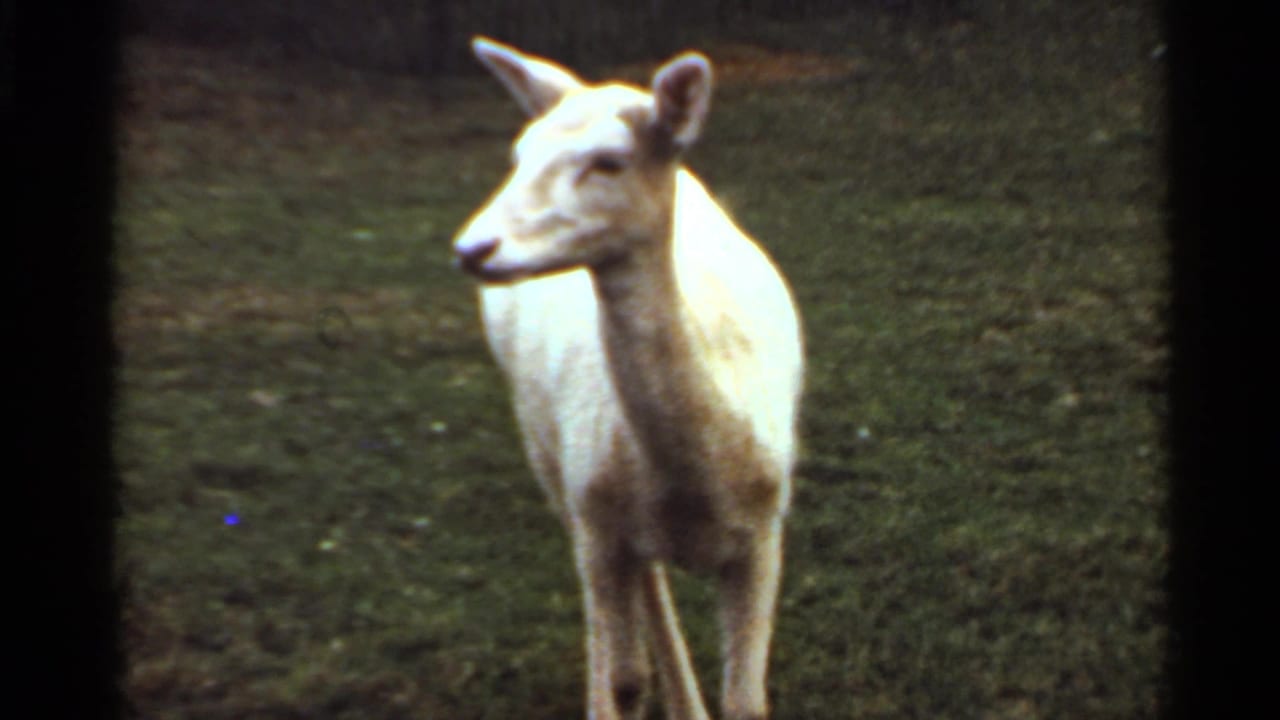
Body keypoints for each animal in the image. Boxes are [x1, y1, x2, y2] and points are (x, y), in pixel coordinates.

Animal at [451, 37, 804, 720]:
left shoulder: (765, 532)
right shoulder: (597, 520)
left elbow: (747, 701)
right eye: (518, 153)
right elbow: (622, 677)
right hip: (549, 456)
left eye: (609, 161)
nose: (473, 249)